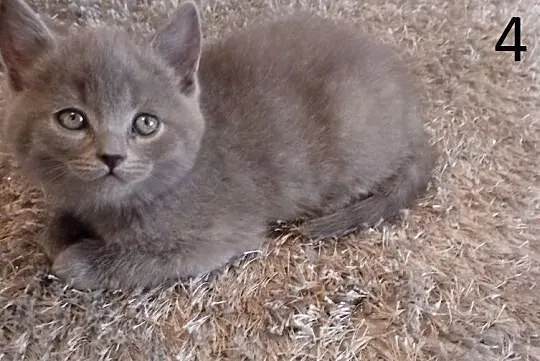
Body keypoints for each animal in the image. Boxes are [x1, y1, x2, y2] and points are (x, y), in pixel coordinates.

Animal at [0, 0, 436, 288]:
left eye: (145, 123)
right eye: (72, 119)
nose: (112, 156)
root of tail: (413, 110)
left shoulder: (215, 238)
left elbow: (140, 259)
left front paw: (78, 259)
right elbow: (57, 226)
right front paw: (63, 227)